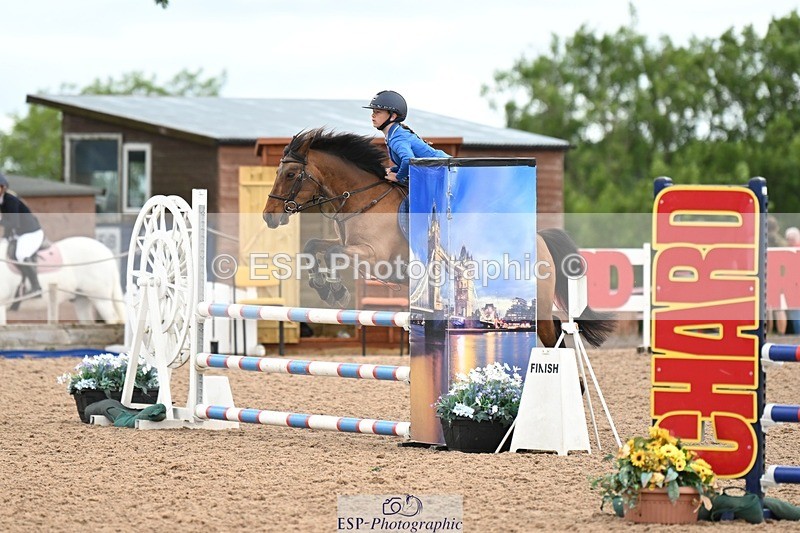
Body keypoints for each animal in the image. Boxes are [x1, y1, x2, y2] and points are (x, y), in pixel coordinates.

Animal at [262, 128, 615, 347]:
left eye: (290, 174)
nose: (269, 216)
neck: (362, 200)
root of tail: (539, 238)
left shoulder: (370, 255)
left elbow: (332, 255)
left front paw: (333, 290)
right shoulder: (350, 248)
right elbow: (314, 247)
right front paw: (327, 288)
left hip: (538, 305)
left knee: (552, 336)